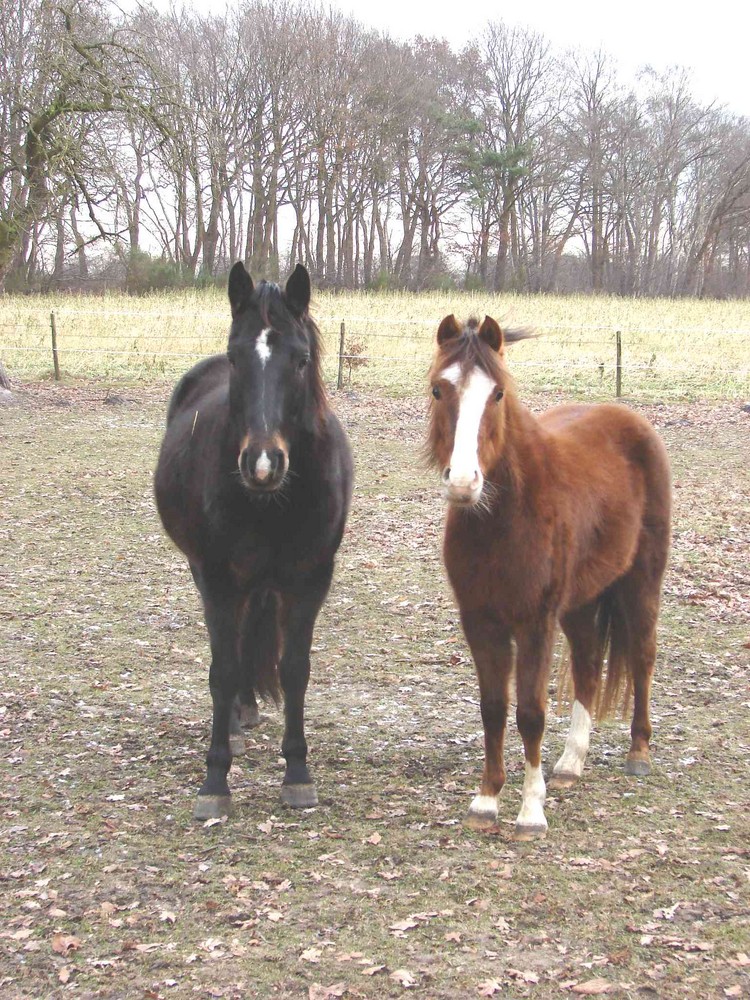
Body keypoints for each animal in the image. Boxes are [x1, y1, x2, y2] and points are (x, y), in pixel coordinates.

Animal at [155, 262, 352, 816]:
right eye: (235, 356)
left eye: (301, 359)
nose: (263, 464)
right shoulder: (218, 579)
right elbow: (222, 669)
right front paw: (215, 781)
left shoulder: (309, 581)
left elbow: (295, 669)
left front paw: (298, 774)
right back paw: (236, 724)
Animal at [428, 316, 676, 840]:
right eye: (440, 389)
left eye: (497, 393)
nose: (463, 482)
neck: (503, 517)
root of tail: (630, 420)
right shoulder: (480, 621)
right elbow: (493, 708)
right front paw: (486, 801)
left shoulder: (534, 622)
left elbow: (530, 713)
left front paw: (530, 812)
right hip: (582, 602)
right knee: (587, 664)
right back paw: (570, 763)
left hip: (641, 583)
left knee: (642, 655)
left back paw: (638, 752)